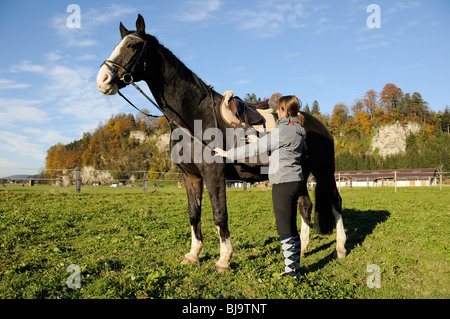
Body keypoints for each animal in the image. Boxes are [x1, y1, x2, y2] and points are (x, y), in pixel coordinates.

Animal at [96, 15, 346, 274]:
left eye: (132, 46)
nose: (102, 80)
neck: (194, 116)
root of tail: (319, 125)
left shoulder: (213, 174)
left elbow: (219, 214)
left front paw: (224, 258)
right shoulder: (191, 176)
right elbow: (194, 214)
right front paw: (194, 254)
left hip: (324, 171)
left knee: (336, 202)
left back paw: (340, 248)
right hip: (301, 173)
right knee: (305, 205)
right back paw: (304, 249)